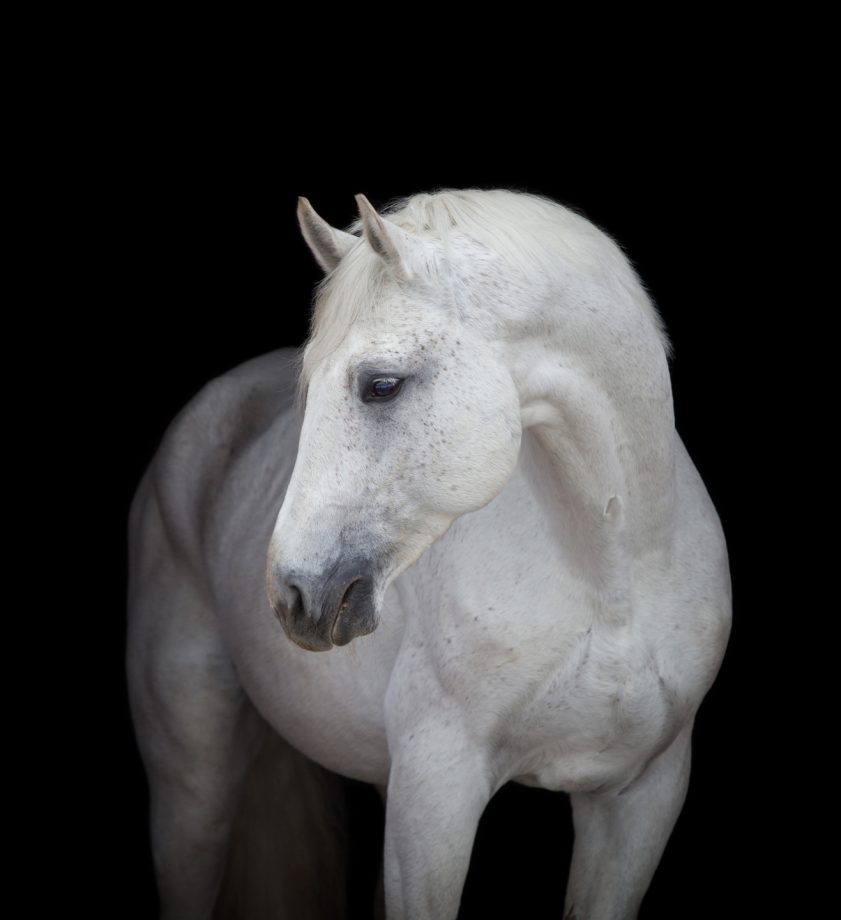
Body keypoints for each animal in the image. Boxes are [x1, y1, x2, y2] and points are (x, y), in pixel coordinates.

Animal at [128, 189, 732, 920]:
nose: (291, 595)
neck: (612, 582)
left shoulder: (641, 797)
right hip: (193, 789)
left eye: (382, 385)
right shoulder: (437, 791)